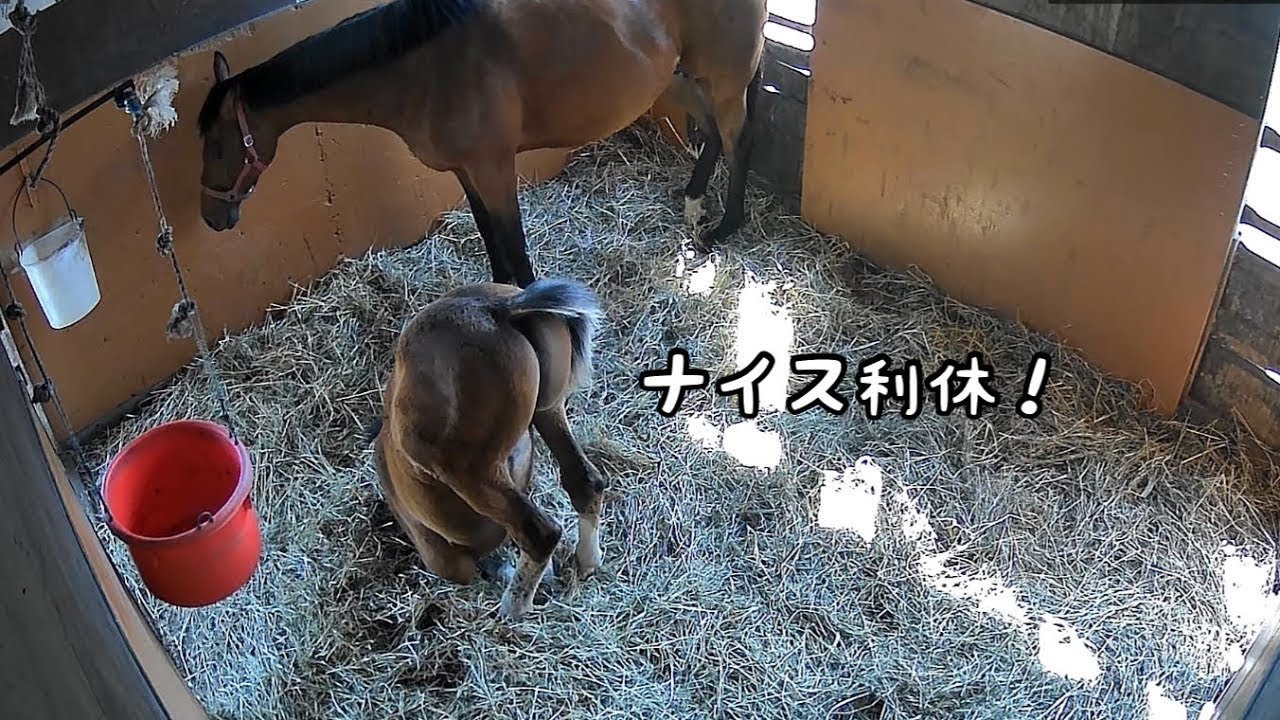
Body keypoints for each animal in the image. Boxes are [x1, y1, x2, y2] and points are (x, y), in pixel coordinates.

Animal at [196, 0, 769, 288]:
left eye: (218, 145)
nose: (210, 216)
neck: (427, 68)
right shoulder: (467, 172)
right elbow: (494, 249)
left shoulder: (495, 170)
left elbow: (517, 255)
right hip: (677, 76)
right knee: (711, 133)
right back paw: (692, 204)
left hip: (723, 77)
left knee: (738, 140)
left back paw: (722, 229)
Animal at [366, 277, 606, 621]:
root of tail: (499, 309)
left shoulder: (443, 557)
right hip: (548, 411)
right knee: (585, 482)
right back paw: (586, 561)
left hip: (471, 472)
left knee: (539, 533)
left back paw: (511, 612)